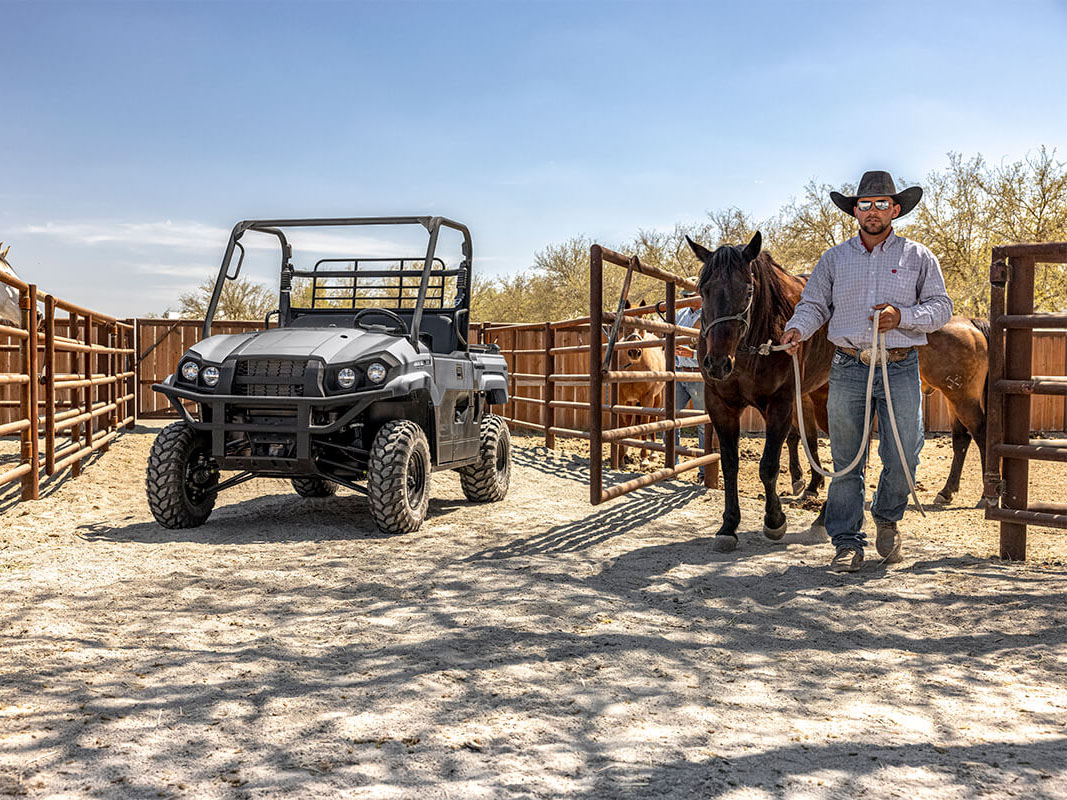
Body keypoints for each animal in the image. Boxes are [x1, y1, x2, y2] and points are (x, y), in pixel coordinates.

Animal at [687, 231, 836, 550]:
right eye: (703, 290)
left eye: (747, 291)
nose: (717, 363)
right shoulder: (721, 405)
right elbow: (730, 463)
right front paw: (729, 525)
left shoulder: (780, 403)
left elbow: (768, 465)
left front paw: (775, 520)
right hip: (815, 394)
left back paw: (824, 517)